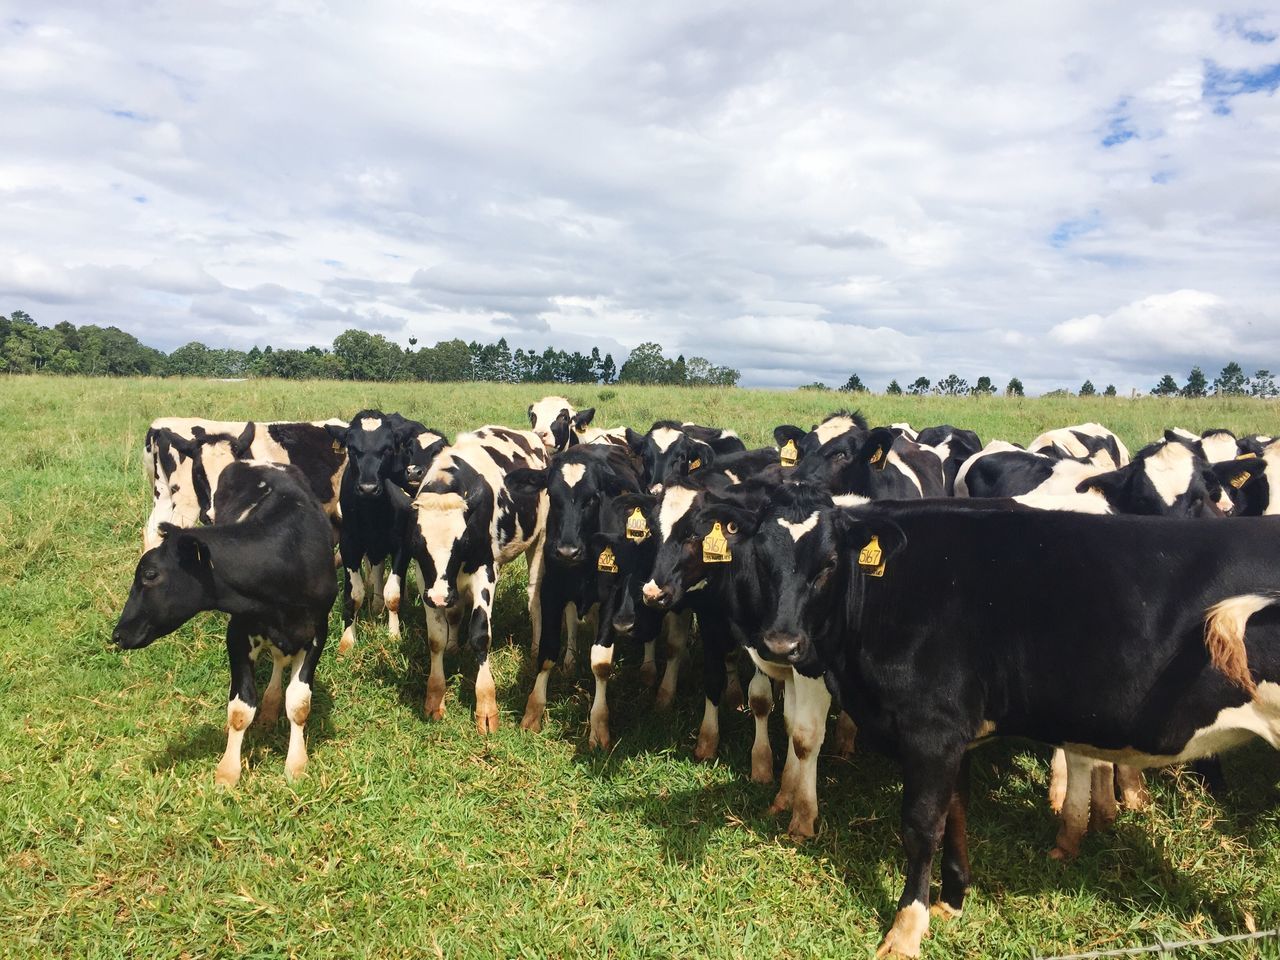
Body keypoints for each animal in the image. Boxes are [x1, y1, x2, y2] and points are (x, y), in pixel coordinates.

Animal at [112, 463, 337, 788]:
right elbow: (241, 709)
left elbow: (298, 703)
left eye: (150, 575)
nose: (118, 634)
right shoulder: (238, 632)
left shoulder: (317, 631)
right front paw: (228, 771)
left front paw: (296, 765)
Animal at [696, 496, 1280, 960]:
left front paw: (906, 930)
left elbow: (921, 827)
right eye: (761, 560)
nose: (781, 644)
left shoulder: (931, 731)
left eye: (829, 563)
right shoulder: (957, 735)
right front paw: (951, 903)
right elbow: (955, 814)